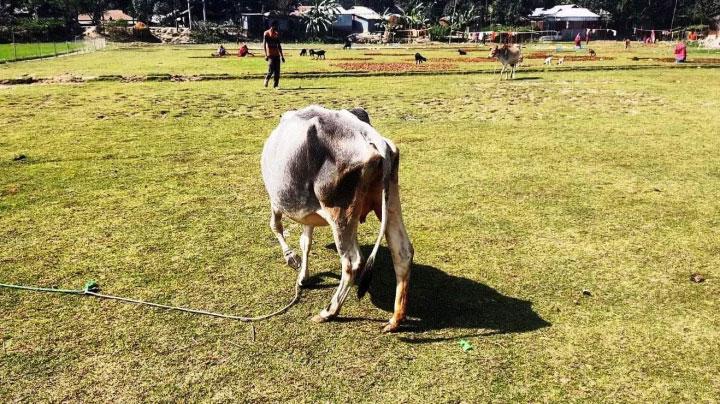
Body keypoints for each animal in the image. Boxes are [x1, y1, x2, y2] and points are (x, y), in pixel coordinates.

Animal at [262, 105, 414, 332]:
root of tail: (370, 136)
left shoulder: (276, 201)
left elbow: (276, 226)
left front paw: (292, 259)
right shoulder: (309, 211)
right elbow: (306, 241)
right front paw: (303, 275)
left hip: (339, 213)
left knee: (352, 262)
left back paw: (328, 312)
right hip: (388, 201)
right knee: (402, 251)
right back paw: (396, 319)